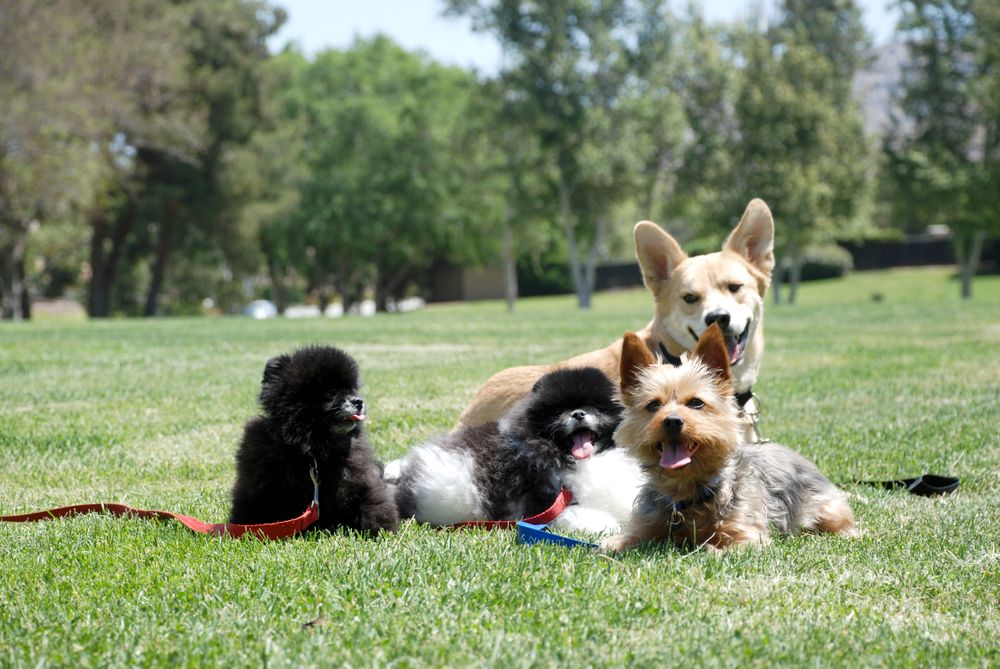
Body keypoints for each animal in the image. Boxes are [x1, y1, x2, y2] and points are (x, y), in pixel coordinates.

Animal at [229, 348, 398, 536]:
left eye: (353, 389)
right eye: (331, 392)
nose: (358, 401)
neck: (313, 451)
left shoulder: (358, 476)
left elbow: (370, 501)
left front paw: (381, 530)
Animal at [386, 366, 644, 532]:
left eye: (596, 407)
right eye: (558, 411)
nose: (579, 413)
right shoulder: (540, 504)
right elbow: (578, 515)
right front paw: (608, 524)